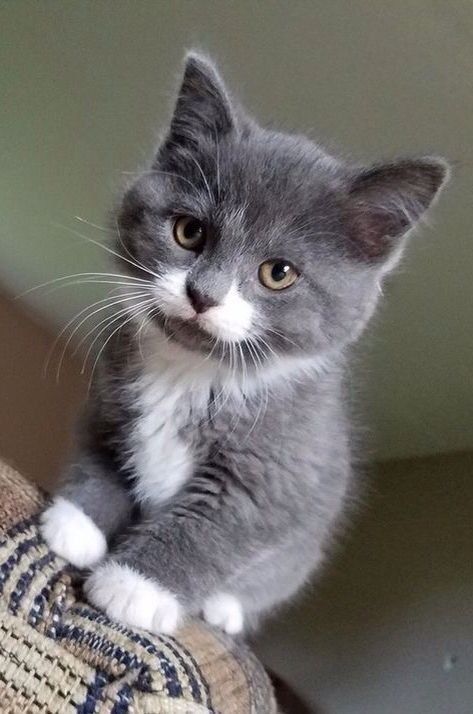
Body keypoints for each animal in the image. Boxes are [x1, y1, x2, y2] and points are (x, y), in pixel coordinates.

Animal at [39, 54, 446, 636]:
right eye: (189, 231)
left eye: (279, 273)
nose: (203, 294)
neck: (191, 372)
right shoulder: (108, 401)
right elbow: (102, 459)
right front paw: (78, 524)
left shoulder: (277, 474)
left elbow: (210, 533)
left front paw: (134, 588)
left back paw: (225, 609)